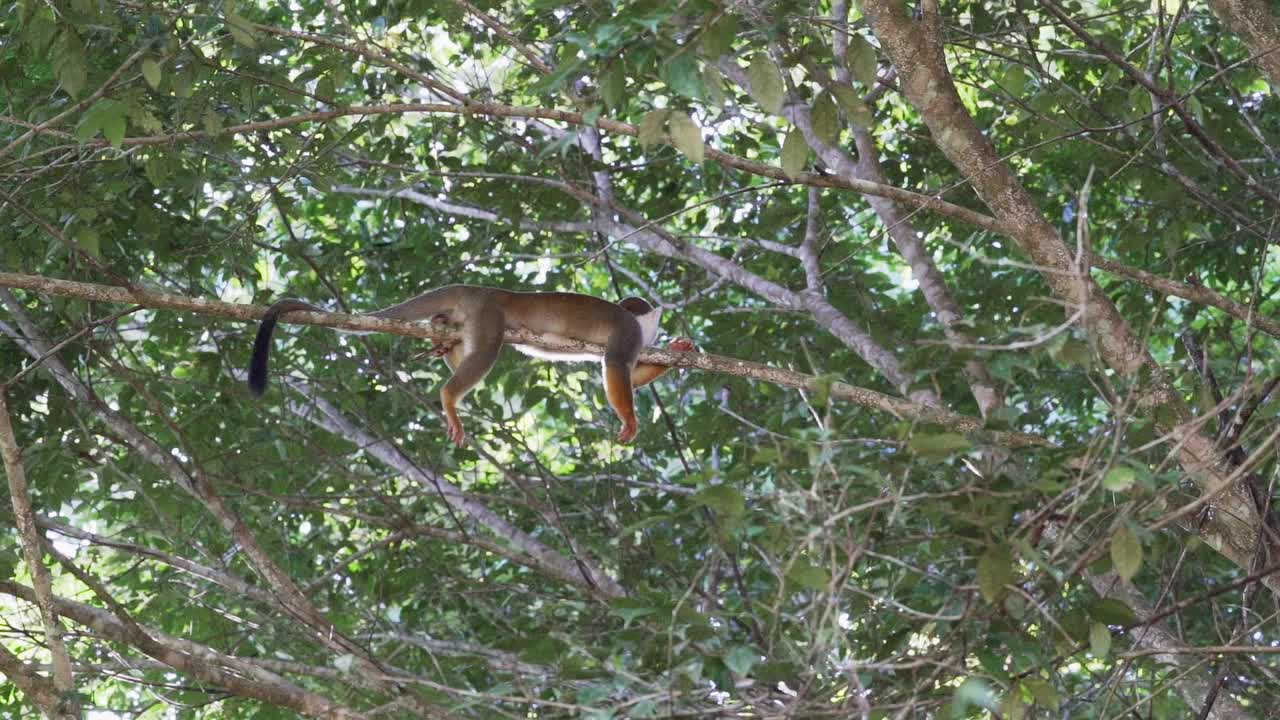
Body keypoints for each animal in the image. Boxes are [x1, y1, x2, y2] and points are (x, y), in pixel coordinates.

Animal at [245, 284, 696, 443]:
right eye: (646, 316)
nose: (661, 329)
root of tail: (480, 290)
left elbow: (632, 375)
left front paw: (679, 349)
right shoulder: (629, 332)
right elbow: (616, 367)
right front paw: (630, 419)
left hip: (471, 318)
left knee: (465, 343)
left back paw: (441, 338)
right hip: (489, 316)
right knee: (487, 351)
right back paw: (449, 398)